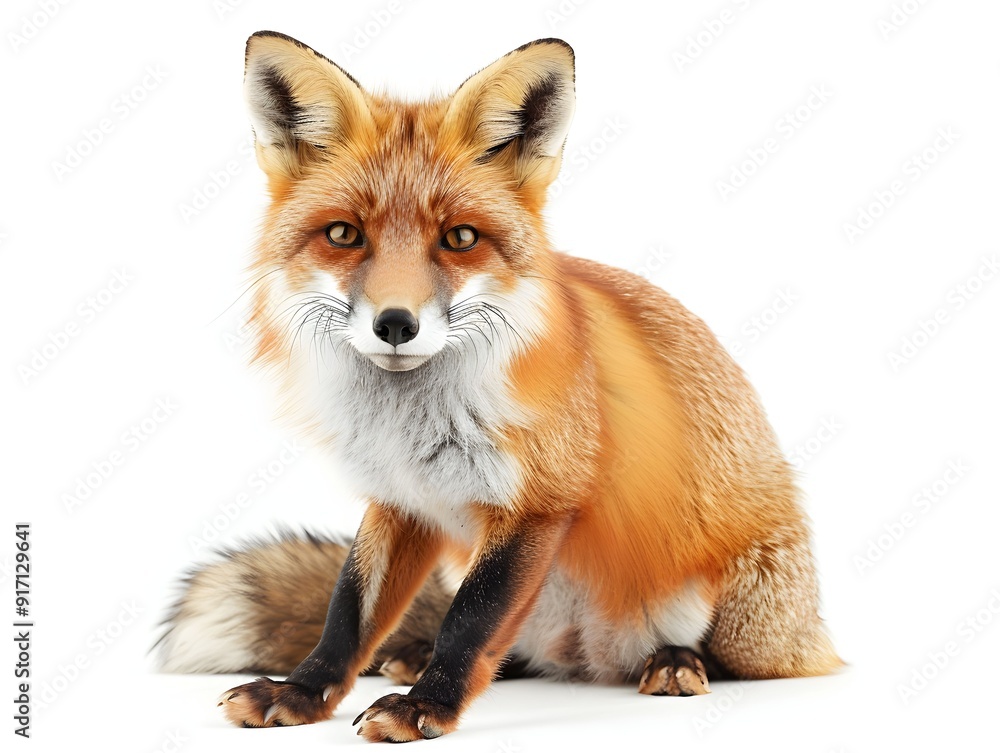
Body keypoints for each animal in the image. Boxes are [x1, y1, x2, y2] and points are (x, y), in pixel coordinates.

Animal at [157, 31, 841, 742]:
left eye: (460, 238)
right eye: (344, 234)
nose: (395, 324)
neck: (410, 428)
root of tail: (584, 656)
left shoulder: (537, 502)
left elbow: (470, 619)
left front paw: (425, 709)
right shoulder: (400, 502)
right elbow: (349, 612)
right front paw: (302, 693)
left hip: (733, 610)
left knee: (732, 661)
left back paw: (676, 662)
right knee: (505, 651)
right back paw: (425, 654)